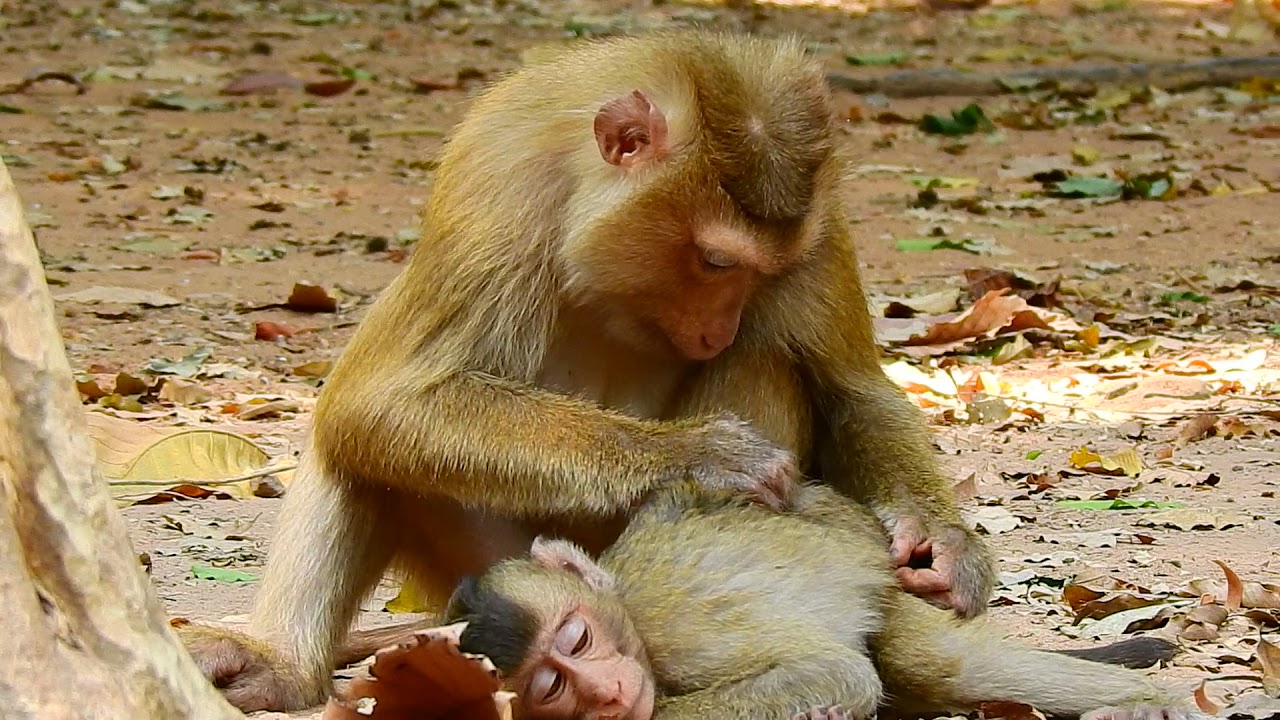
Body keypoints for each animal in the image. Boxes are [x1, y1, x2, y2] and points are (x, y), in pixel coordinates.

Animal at [179, 31, 997, 712]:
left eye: (767, 268)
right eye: (715, 261)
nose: (718, 326)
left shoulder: (821, 225)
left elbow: (853, 391)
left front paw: (946, 548)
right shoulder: (500, 182)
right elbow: (380, 399)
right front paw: (703, 453)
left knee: (770, 357)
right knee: (357, 438)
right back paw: (282, 668)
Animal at [440, 481, 1197, 720]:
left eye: (579, 641)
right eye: (551, 686)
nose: (607, 692)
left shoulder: (684, 637)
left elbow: (834, 672)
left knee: (935, 665)